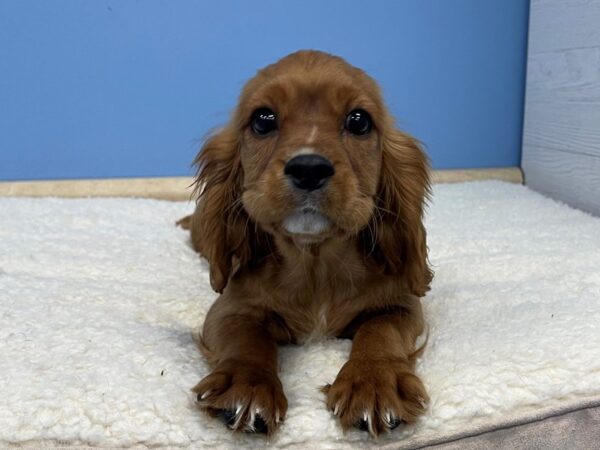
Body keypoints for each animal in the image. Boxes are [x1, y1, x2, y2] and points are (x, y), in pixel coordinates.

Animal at [183, 49, 432, 436]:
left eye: (359, 121)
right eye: (263, 120)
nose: (309, 168)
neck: (315, 263)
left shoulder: (400, 304)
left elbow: (381, 330)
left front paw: (374, 381)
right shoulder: (231, 306)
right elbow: (246, 339)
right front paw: (247, 385)